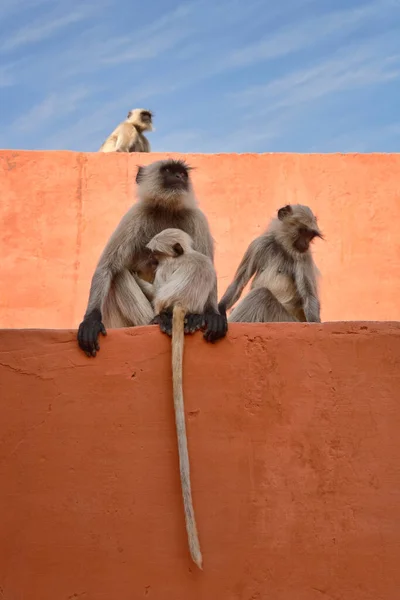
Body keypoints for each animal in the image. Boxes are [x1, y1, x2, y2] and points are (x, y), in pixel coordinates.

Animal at [78, 157, 228, 358]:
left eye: (182, 173)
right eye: (168, 170)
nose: (179, 176)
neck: (167, 208)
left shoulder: (197, 218)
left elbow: (208, 267)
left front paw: (212, 315)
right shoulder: (135, 214)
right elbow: (107, 267)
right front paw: (91, 320)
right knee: (119, 274)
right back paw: (157, 320)